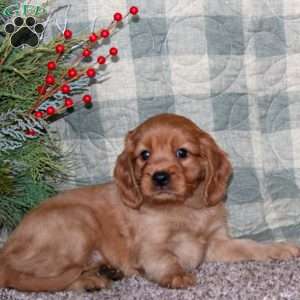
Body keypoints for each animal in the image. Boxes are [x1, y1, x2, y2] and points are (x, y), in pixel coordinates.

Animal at [0, 113, 300, 290]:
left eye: (182, 153)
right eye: (144, 155)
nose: (159, 176)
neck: (184, 208)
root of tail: (5, 251)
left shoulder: (216, 243)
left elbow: (249, 246)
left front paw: (279, 249)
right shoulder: (150, 246)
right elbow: (165, 258)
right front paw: (177, 274)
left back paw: (101, 273)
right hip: (77, 223)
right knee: (39, 279)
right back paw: (92, 278)